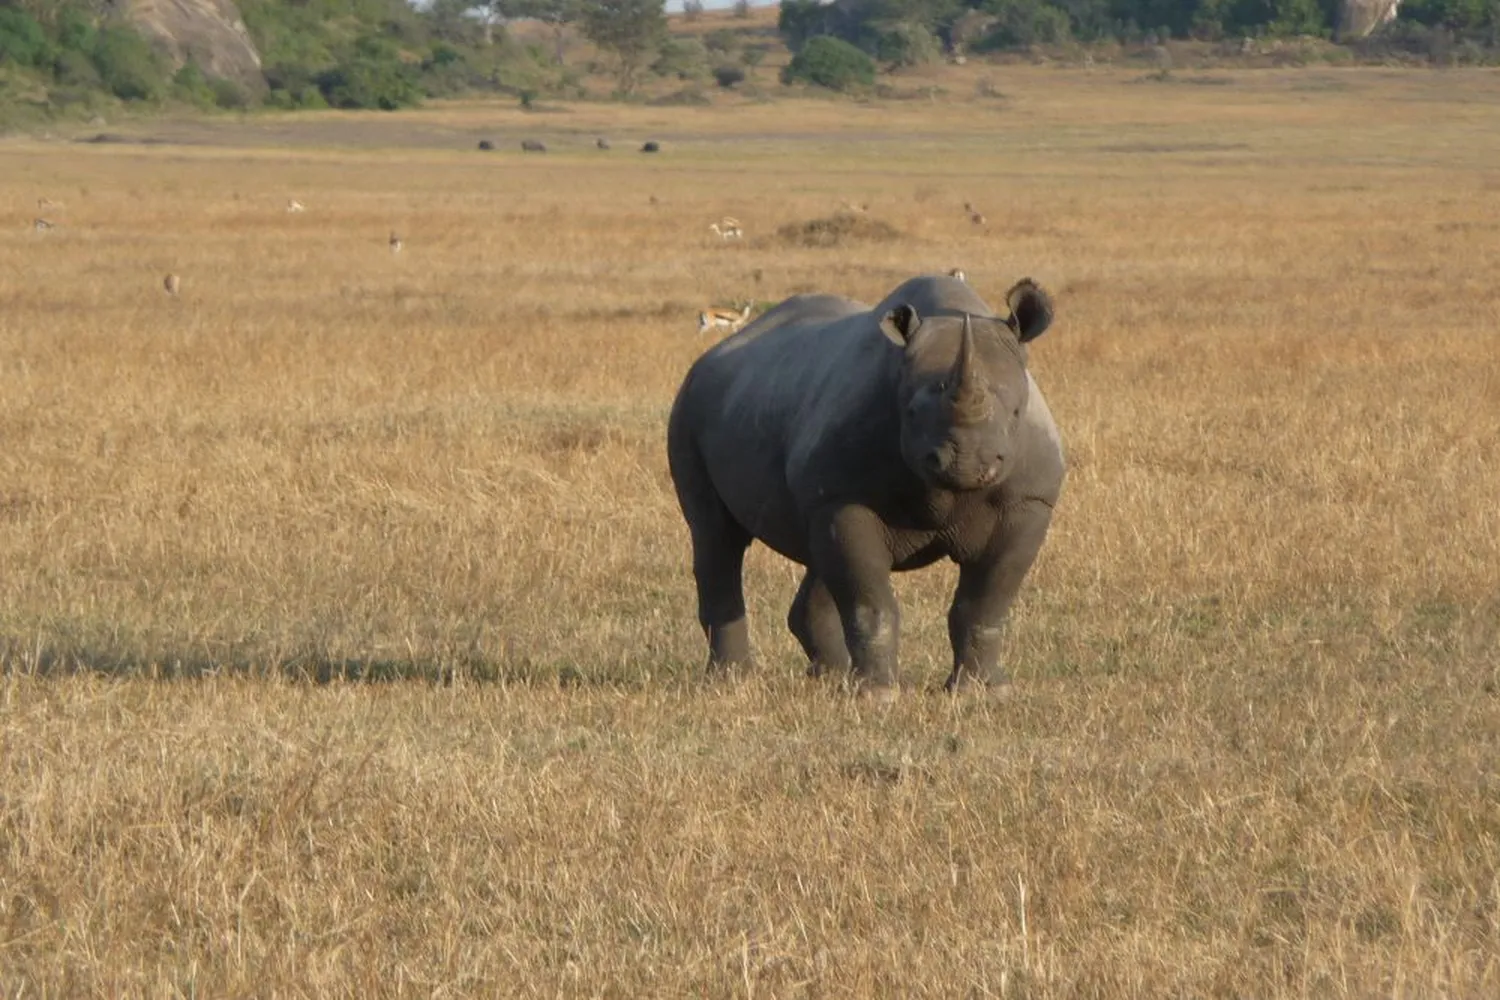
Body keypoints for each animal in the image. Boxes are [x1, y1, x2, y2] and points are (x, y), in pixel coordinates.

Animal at [666, 273, 1063, 700]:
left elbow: (987, 602)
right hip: (688, 407)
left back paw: (830, 677)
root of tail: (711, 357)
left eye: (1017, 412)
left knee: (814, 551)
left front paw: (983, 692)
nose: (967, 463)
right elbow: (869, 599)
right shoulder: (846, 499)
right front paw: (877, 696)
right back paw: (731, 681)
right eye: (910, 412)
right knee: (716, 535)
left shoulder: (1027, 502)